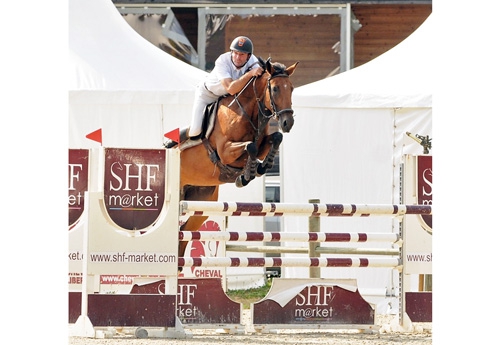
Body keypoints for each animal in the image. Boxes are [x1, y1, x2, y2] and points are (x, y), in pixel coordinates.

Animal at [177, 57, 298, 264]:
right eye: (274, 89)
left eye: (291, 88)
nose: (287, 123)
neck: (247, 112)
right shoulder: (225, 151)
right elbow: (250, 147)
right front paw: (245, 176)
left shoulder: (263, 142)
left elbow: (274, 138)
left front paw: (260, 167)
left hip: (202, 201)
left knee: (184, 232)